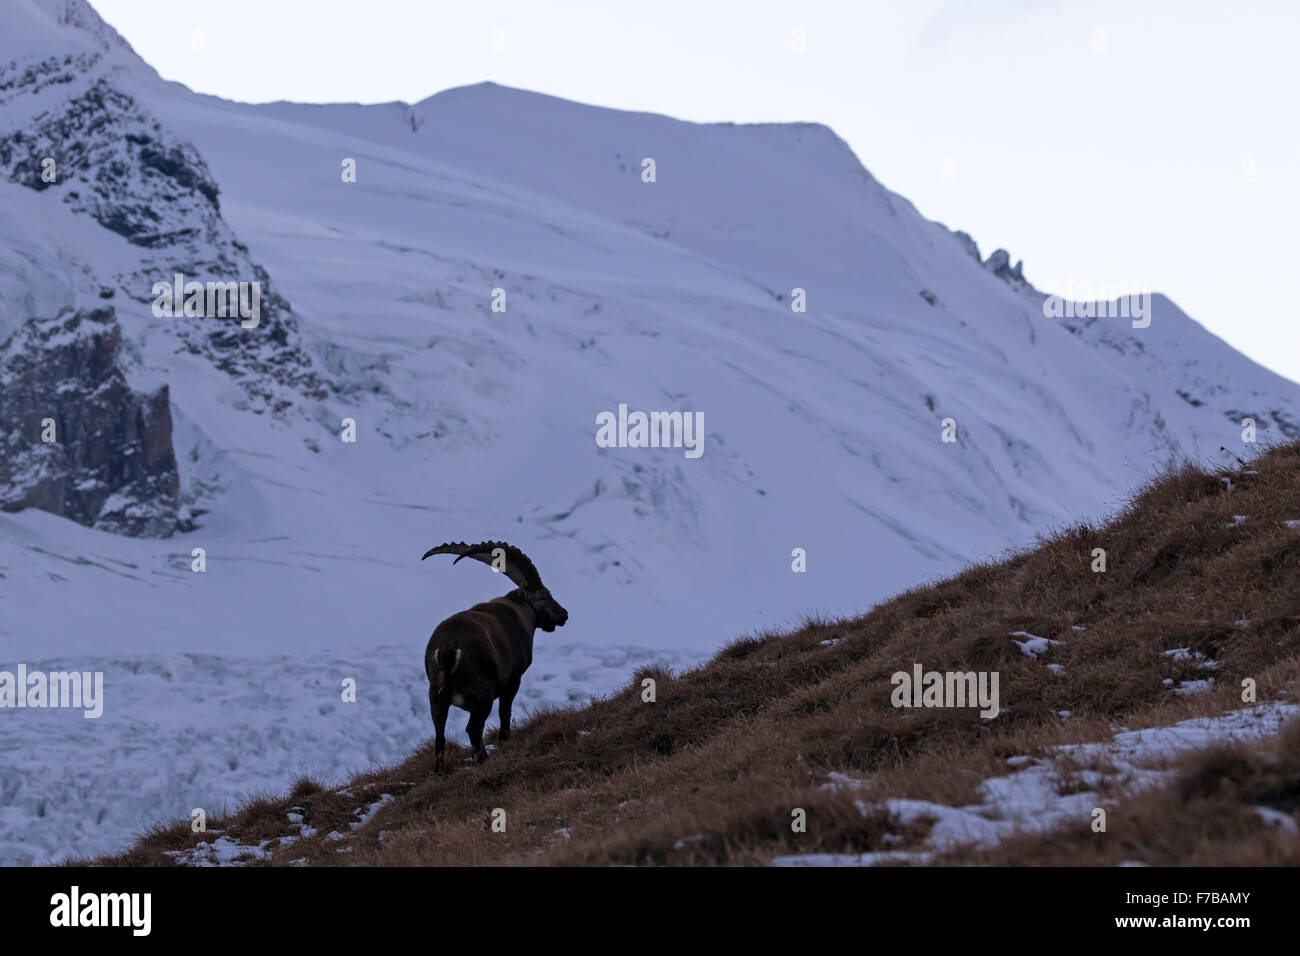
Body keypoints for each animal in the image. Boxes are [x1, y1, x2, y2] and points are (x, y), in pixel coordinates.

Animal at [421, 540, 569, 773]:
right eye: (544, 596)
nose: (564, 614)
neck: (521, 610)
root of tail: (447, 649)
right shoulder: (514, 679)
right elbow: (505, 711)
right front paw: (505, 740)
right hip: (483, 693)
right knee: (473, 728)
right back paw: (482, 760)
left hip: (436, 698)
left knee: (440, 736)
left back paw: (441, 771)